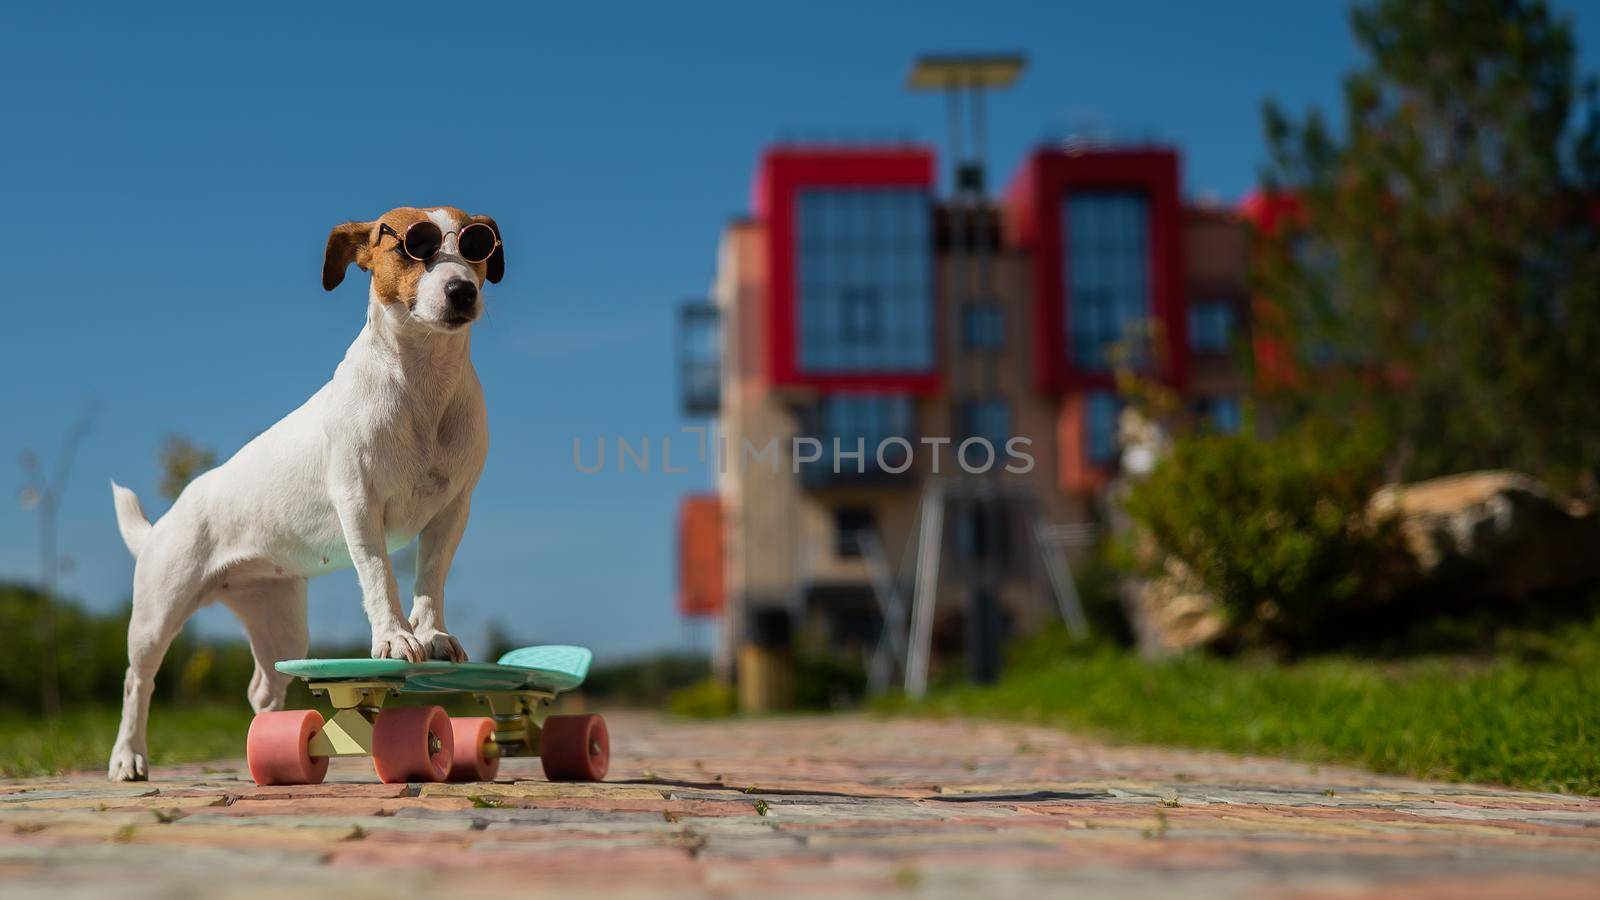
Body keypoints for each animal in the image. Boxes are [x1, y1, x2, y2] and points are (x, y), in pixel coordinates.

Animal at [104, 204, 499, 778]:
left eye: (477, 248)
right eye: (413, 246)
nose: (462, 291)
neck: (423, 382)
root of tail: (165, 521)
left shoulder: (452, 510)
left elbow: (430, 577)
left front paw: (430, 634)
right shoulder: (359, 503)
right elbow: (380, 575)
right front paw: (395, 637)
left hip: (281, 622)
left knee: (264, 688)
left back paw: (270, 744)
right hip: (158, 611)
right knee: (139, 680)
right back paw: (128, 757)